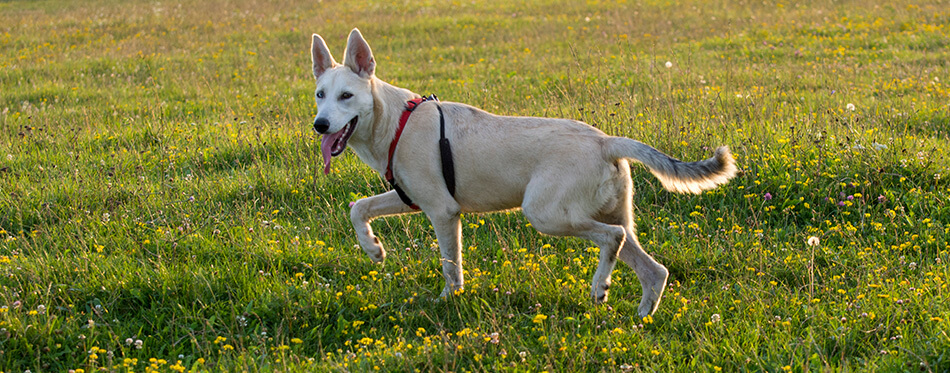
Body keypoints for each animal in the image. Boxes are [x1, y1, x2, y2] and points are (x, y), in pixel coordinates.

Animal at [308, 28, 740, 316]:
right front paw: (373, 249)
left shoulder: (444, 213)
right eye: (320, 94)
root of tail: (605, 140)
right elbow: (358, 209)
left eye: (346, 96)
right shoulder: (408, 198)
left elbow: (451, 266)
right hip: (608, 215)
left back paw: (600, 286)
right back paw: (638, 318)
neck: (396, 122)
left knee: (612, 239)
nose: (320, 125)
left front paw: (449, 301)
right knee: (654, 270)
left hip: (546, 215)